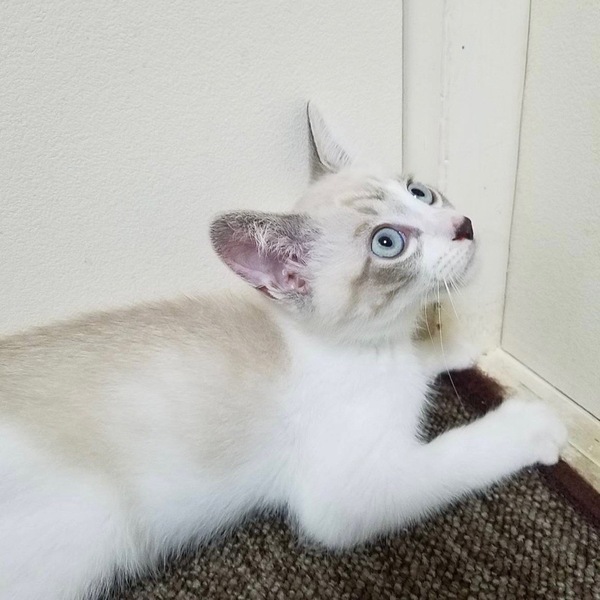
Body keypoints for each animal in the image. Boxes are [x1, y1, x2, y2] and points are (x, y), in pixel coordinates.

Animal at [0, 103, 567, 600]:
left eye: (419, 191)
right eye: (388, 243)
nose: (463, 226)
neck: (364, 347)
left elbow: (419, 361)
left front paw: (455, 345)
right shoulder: (345, 497)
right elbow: (456, 457)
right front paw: (533, 424)